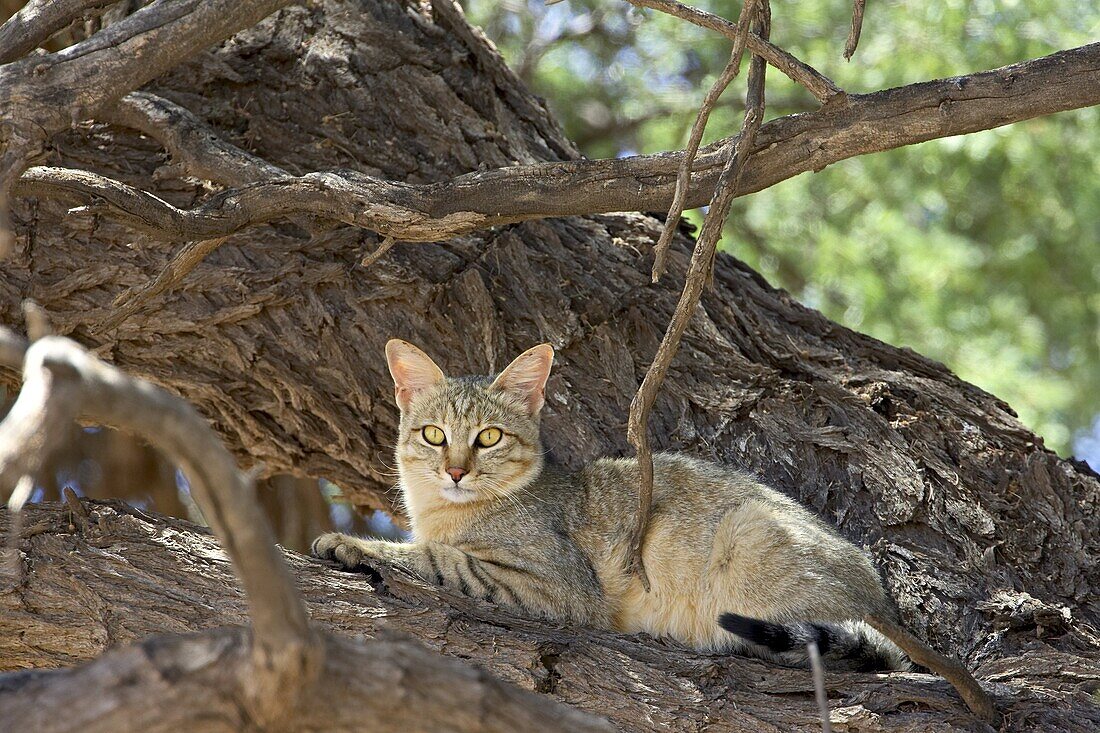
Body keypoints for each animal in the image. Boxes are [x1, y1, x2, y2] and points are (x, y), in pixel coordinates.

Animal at [312, 336, 910, 669]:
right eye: (435, 435)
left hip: (749, 535)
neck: (443, 513)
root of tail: (883, 604)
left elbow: (437, 558)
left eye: (489, 437)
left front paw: (350, 543)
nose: (456, 471)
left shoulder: (557, 587)